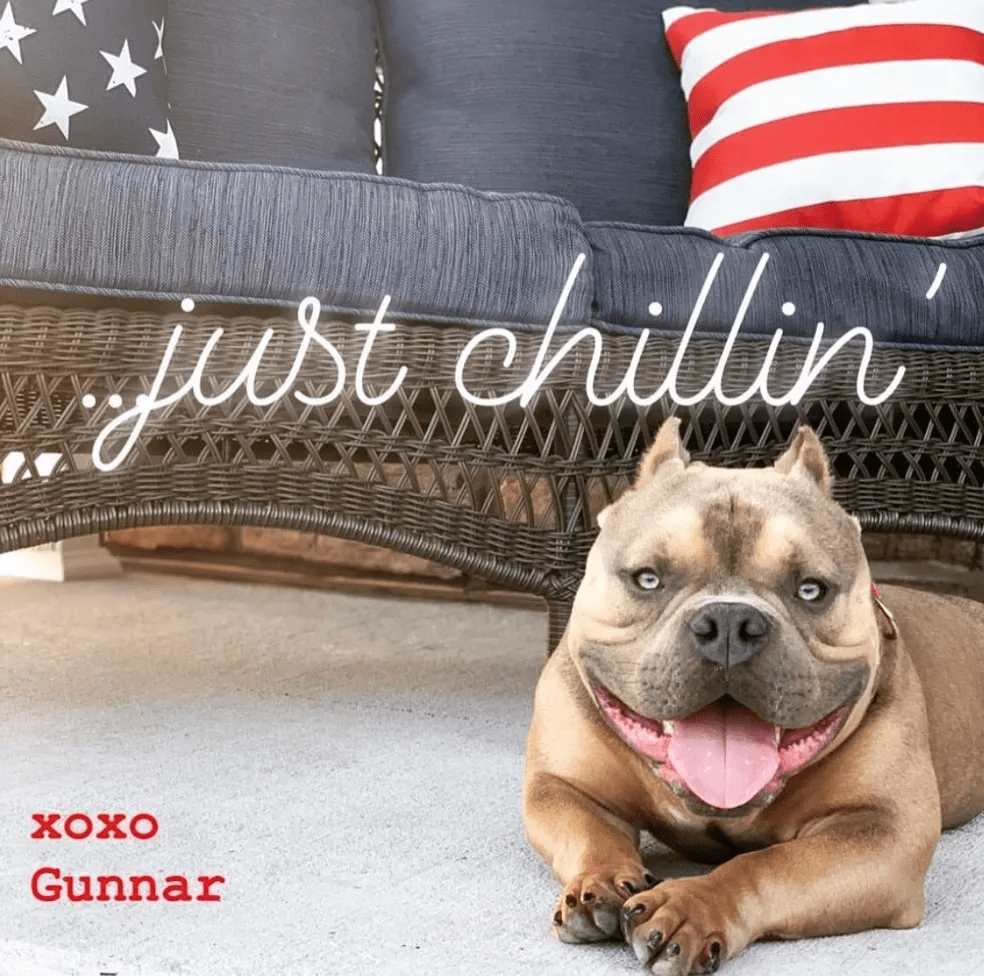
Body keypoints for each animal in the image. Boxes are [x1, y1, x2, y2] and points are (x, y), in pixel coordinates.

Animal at [524, 420, 984, 976]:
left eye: (811, 590)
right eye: (648, 578)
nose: (728, 624)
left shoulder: (884, 834)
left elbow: (767, 865)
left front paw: (691, 906)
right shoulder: (560, 787)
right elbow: (590, 832)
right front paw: (601, 881)